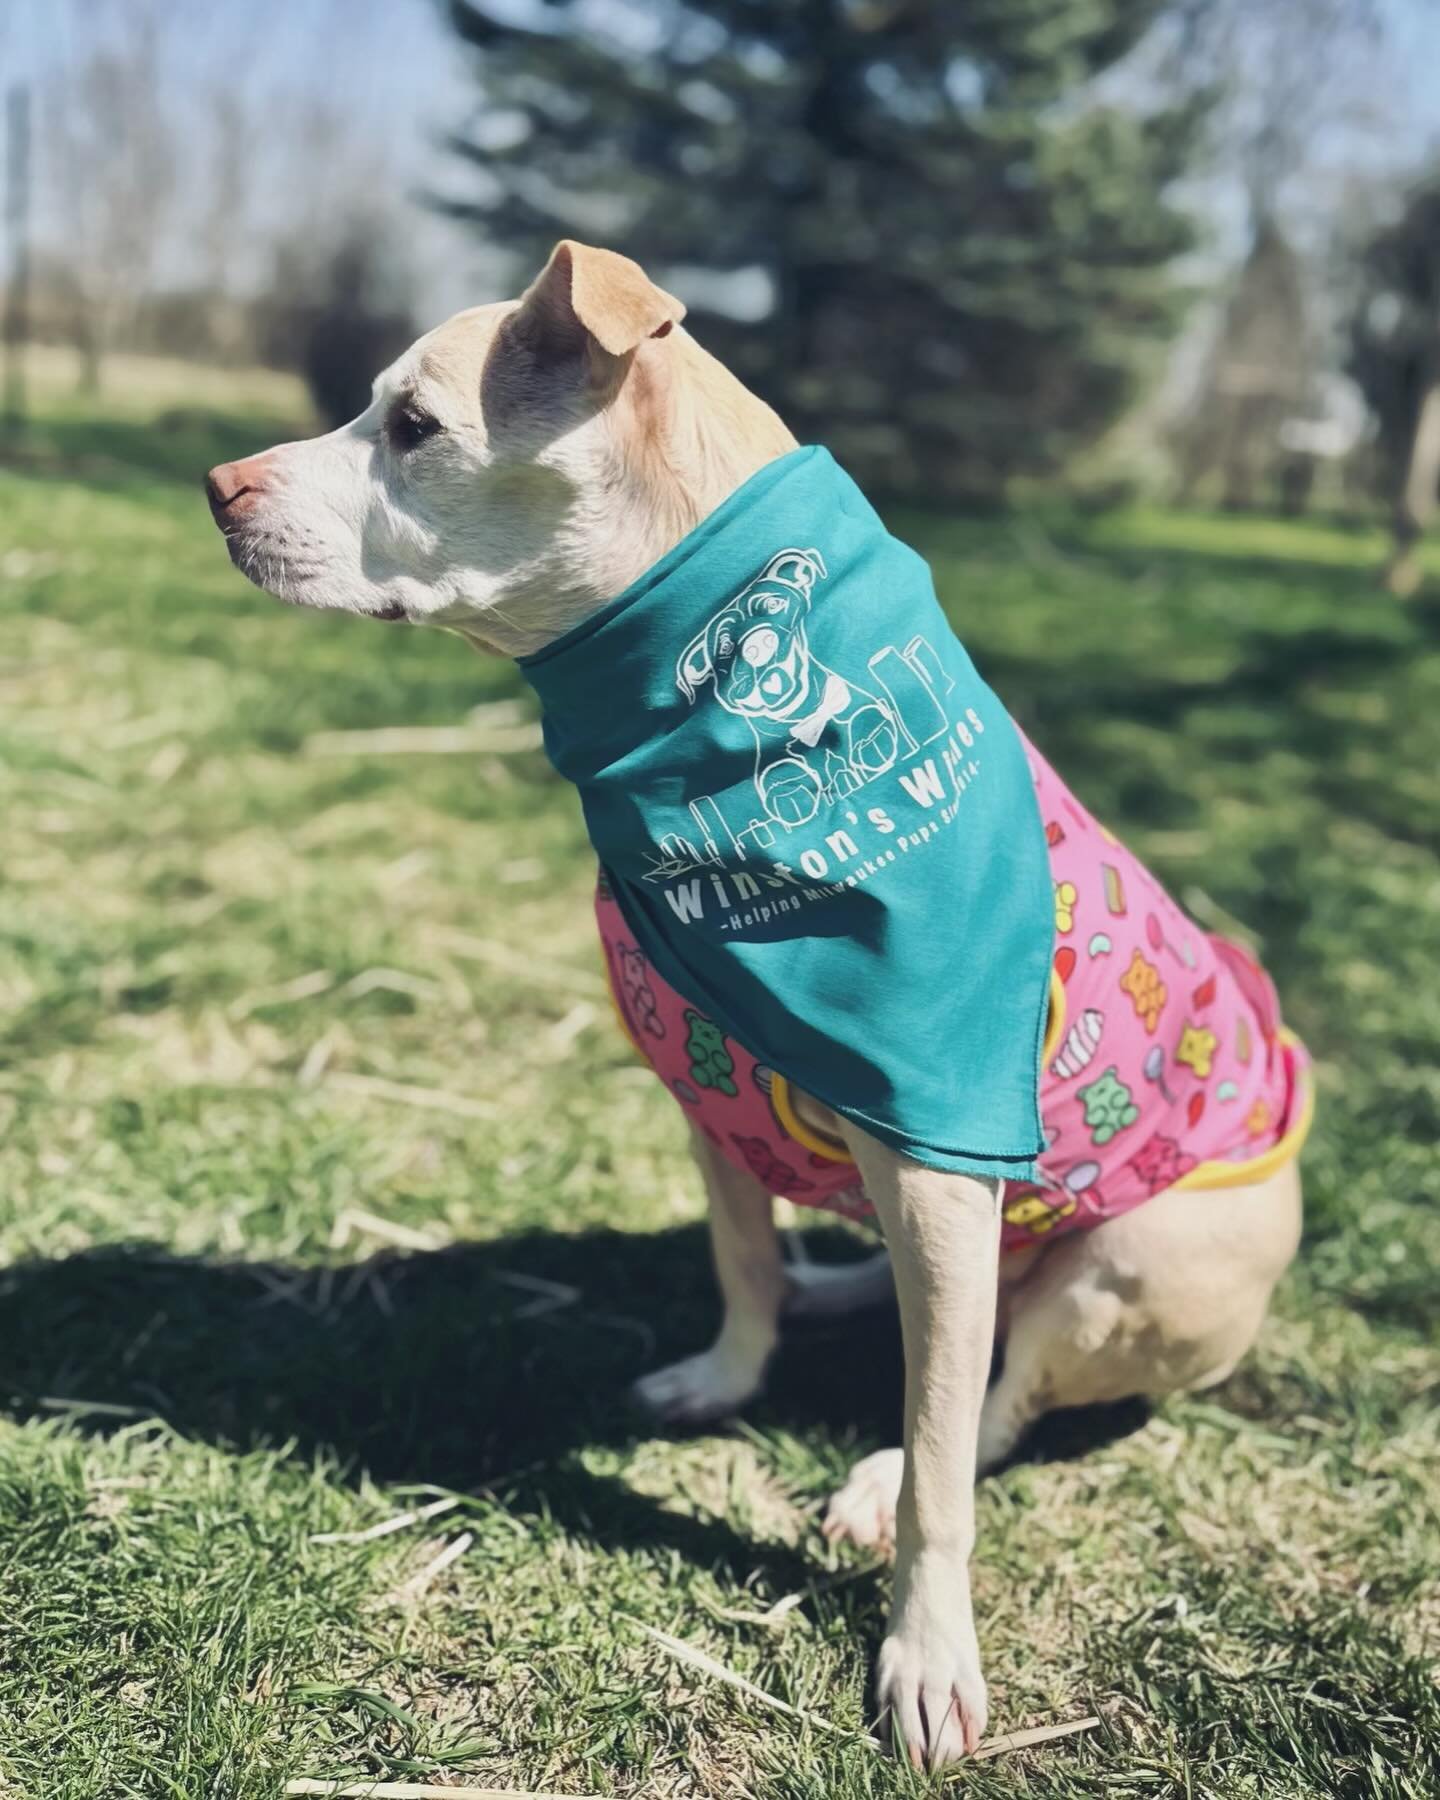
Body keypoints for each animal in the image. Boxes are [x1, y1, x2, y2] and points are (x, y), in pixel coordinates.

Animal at [210, 243, 1303, 1771]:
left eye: (414, 427)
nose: (218, 485)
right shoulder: (710, 1100)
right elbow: (737, 1263)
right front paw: (727, 1374)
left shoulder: (943, 1164)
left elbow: (948, 1472)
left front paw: (924, 1650)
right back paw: (835, 1285)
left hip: (1135, 1266)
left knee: (999, 1397)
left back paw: (887, 1459)